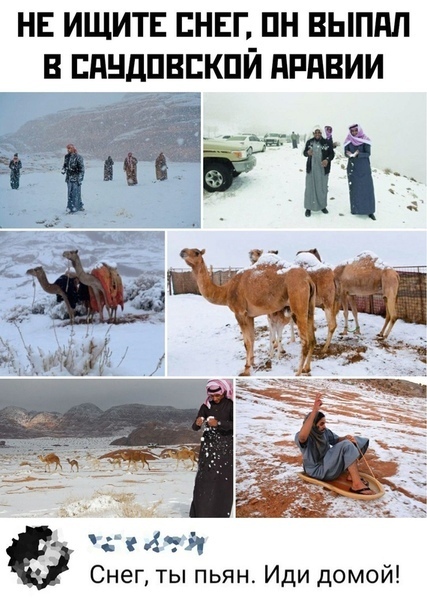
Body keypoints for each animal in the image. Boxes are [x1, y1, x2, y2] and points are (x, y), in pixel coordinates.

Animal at [181, 248, 318, 376]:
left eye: (197, 252)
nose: (182, 252)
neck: (226, 291)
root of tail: (308, 280)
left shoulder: (240, 313)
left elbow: (246, 343)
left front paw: (246, 370)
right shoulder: (250, 315)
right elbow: (252, 339)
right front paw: (252, 363)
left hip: (298, 302)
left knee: (305, 341)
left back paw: (298, 372)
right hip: (310, 305)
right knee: (312, 338)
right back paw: (307, 368)